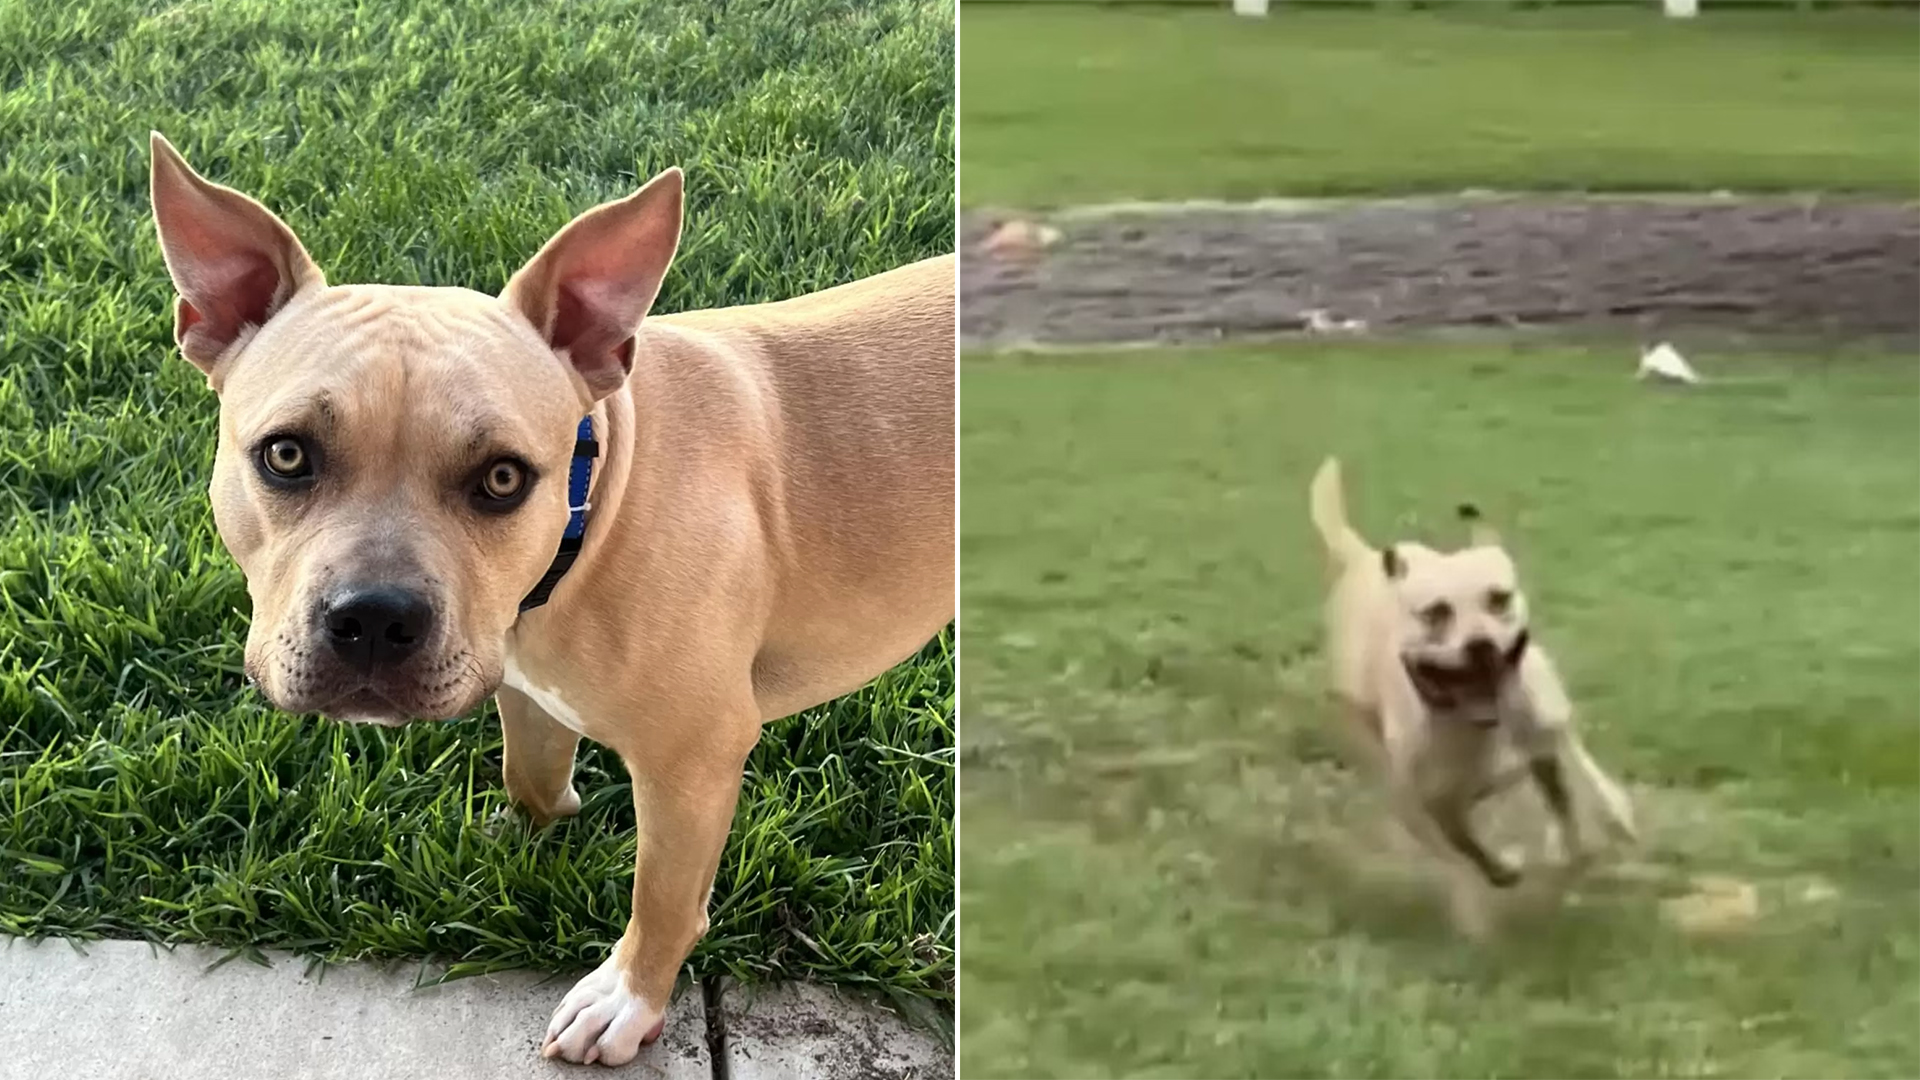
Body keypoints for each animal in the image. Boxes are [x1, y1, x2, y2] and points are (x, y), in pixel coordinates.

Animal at [145, 132, 956, 1060]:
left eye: (502, 478)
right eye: (286, 455)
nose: (375, 619)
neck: (593, 501)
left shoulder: (695, 761)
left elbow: (663, 900)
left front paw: (628, 998)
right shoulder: (524, 687)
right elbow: (529, 776)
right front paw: (529, 839)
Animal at [1305, 457, 1635, 930]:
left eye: (1498, 598)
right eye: (1435, 613)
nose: (1480, 645)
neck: (1478, 728)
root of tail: (1365, 559)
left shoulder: (1543, 742)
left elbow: (1569, 795)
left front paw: (1580, 842)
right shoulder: (1426, 805)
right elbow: (1463, 847)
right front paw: (1495, 881)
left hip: (1548, 702)